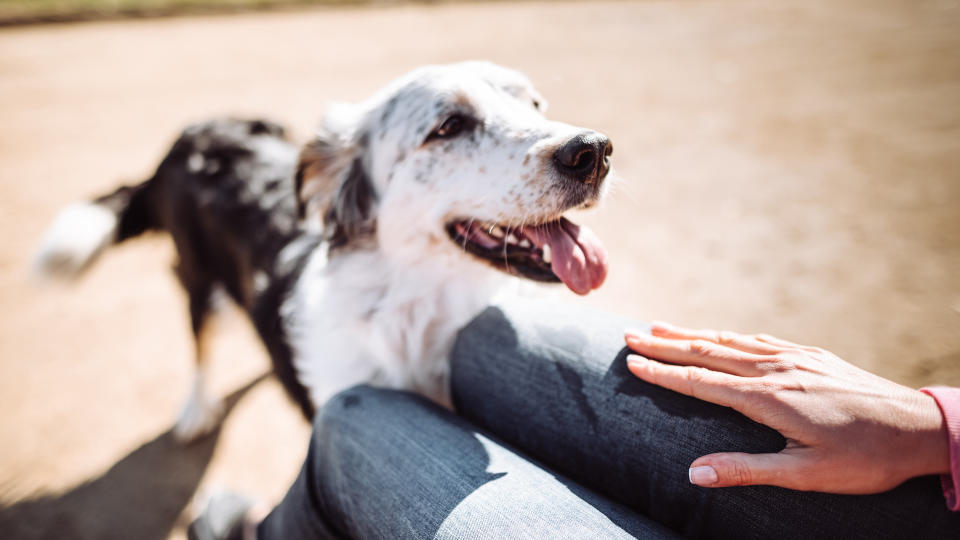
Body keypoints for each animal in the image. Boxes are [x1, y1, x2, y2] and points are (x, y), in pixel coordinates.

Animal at [33, 61, 616, 440]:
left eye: (533, 103)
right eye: (449, 126)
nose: (594, 151)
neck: (417, 313)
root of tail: (193, 133)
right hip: (198, 275)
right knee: (199, 339)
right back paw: (196, 409)